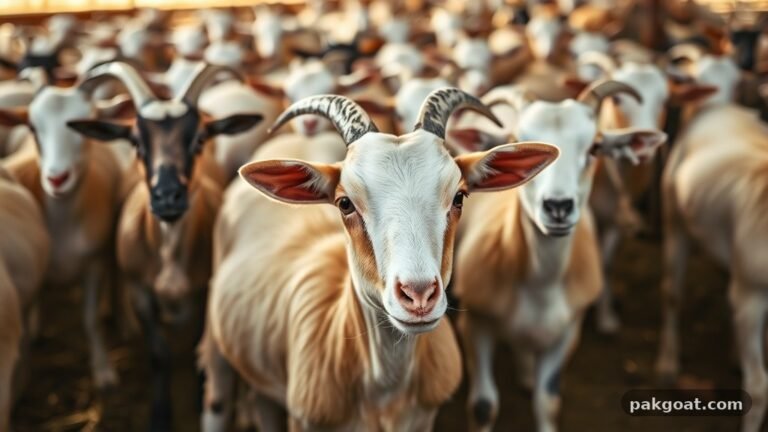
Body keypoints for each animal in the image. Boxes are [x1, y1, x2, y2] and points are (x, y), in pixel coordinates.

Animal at [65, 61, 263, 431]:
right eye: (135, 142)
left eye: (199, 139)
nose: (168, 196)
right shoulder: (140, 289)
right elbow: (158, 354)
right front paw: (159, 415)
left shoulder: (204, 291)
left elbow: (200, 349)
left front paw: (201, 398)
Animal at [451, 81, 665, 432]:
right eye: (516, 143)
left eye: (595, 148)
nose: (558, 206)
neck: (540, 285)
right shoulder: (476, 324)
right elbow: (483, 406)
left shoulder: (566, 333)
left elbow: (548, 401)